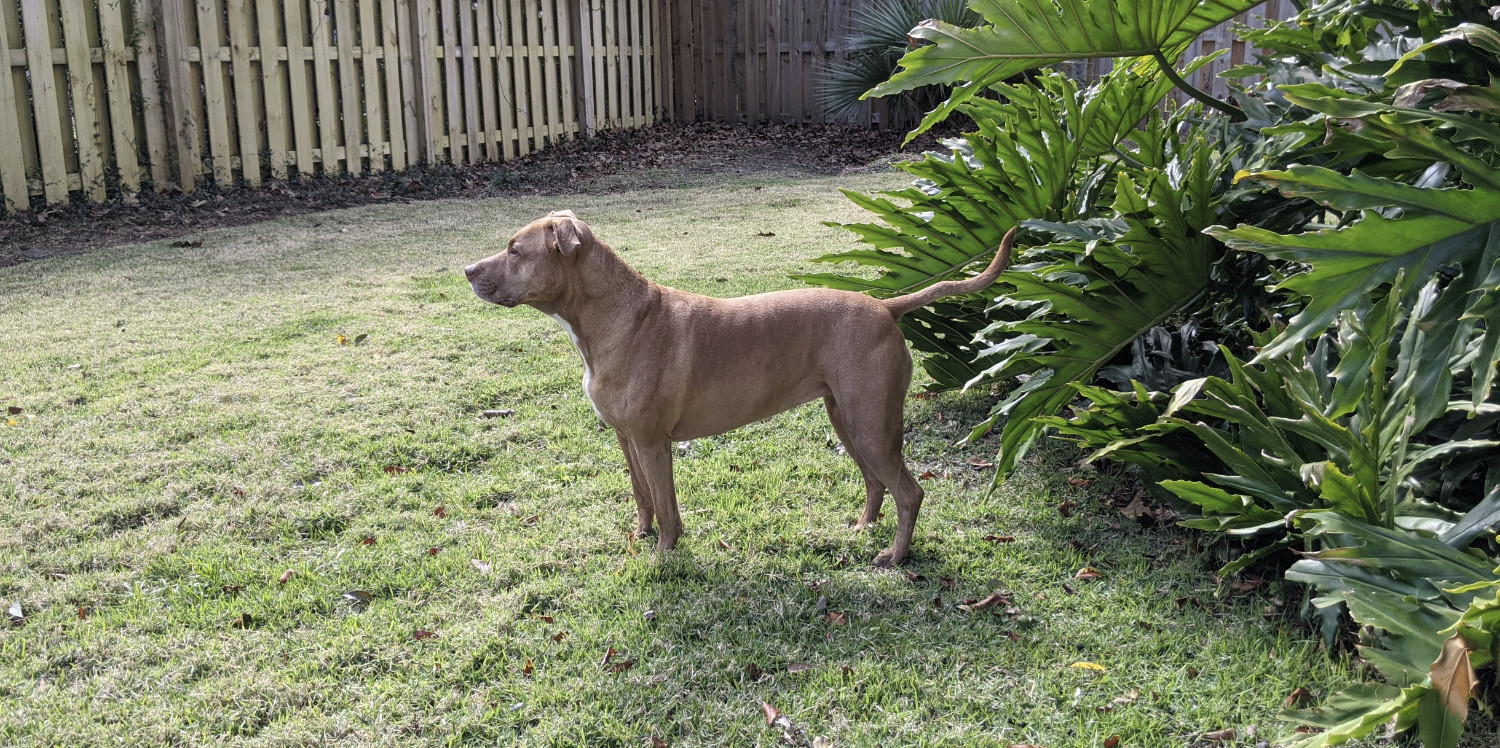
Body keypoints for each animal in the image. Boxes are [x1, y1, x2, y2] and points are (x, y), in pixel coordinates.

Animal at [462, 212, 1014, 566]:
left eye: (515, 251)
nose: (466, 271)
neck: (613, 316)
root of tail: (885, 306)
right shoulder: (625, 438)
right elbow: (642, 497)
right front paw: (639, 536)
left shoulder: (652, 442)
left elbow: (666, 507)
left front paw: (662, 558)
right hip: (848, 419)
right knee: (877, 484)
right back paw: (862, 530)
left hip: (871, 425)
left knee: (908, 491)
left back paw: (895, 557)